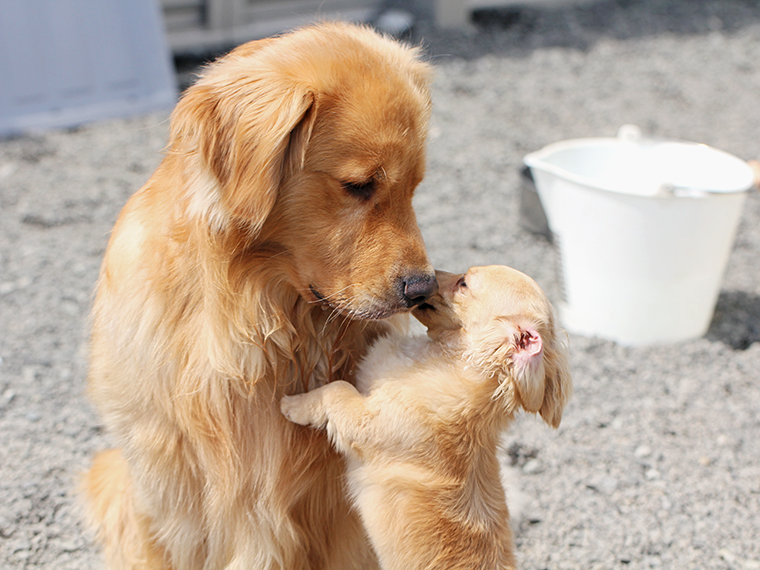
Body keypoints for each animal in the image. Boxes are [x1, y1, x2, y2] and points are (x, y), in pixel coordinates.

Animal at [282, 264, 572, 564]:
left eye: (463, 283)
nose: (428, 278)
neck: (449, 356)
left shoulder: (365, 420)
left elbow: (335, 390)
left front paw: (292, 404)